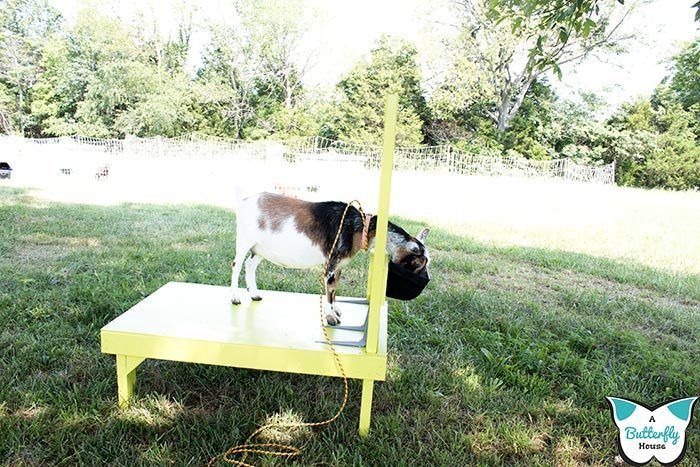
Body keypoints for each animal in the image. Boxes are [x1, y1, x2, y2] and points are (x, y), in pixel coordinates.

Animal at [232, 193, 430, 326]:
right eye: (418, 264)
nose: (425, 282)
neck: (360, 227)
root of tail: (244, 202)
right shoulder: (331, 262)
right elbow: (328, 291)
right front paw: (330, 317)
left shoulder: (339, 266)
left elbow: (334, 289)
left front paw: (336, 310)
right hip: (244, 241)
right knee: (236, 265)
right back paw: (235, 298)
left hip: (260, 249)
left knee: (250, 265)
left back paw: (254, 294)